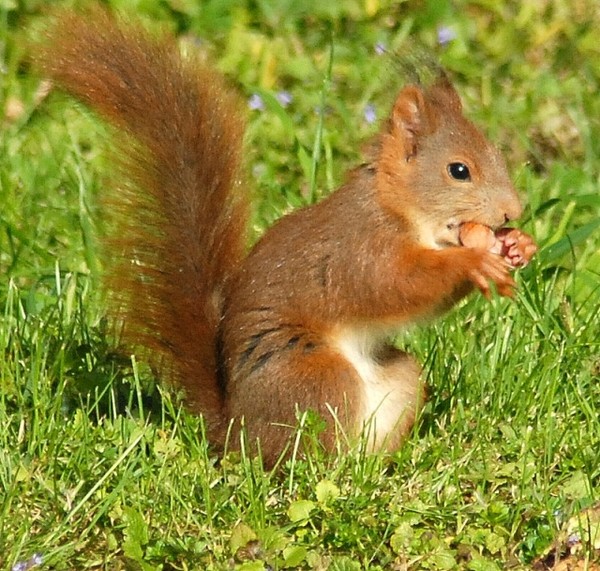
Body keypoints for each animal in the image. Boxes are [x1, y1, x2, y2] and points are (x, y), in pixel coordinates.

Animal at [35, 7, 536, 464]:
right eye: (459, 170)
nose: (513, 210)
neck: (398, 209)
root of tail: (234, 431)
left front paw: (518, 245)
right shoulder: (359, 247)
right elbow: (394, 285)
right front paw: (473, 262)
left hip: (398, 377)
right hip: (314, 375)